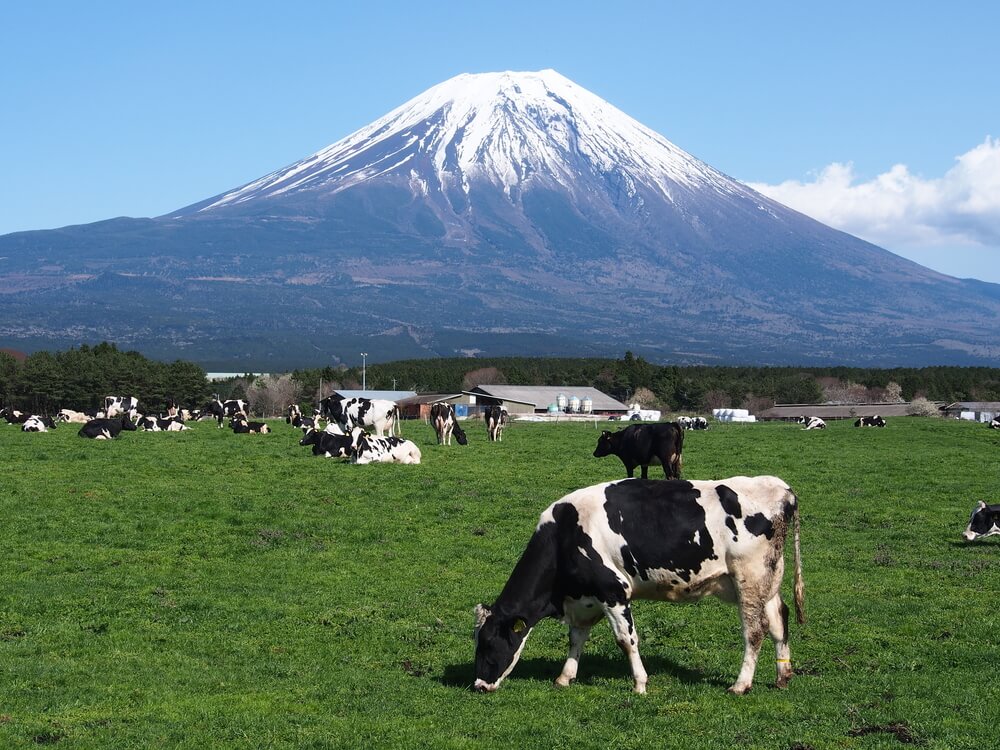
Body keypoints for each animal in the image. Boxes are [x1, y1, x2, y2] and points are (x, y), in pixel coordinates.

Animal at [472, 478, 808, 696]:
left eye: (488, 643)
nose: (479, 685)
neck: (564, 535)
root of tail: (781, 487)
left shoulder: (614, 591)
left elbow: (626, 640)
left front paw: (640, 684)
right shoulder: (585, 599)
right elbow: (576, 639)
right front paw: (565, 677)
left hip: (748, 579)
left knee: (755, 630)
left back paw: (740, 685)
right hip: (767, 580)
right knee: (779, 620)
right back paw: (782, 676)